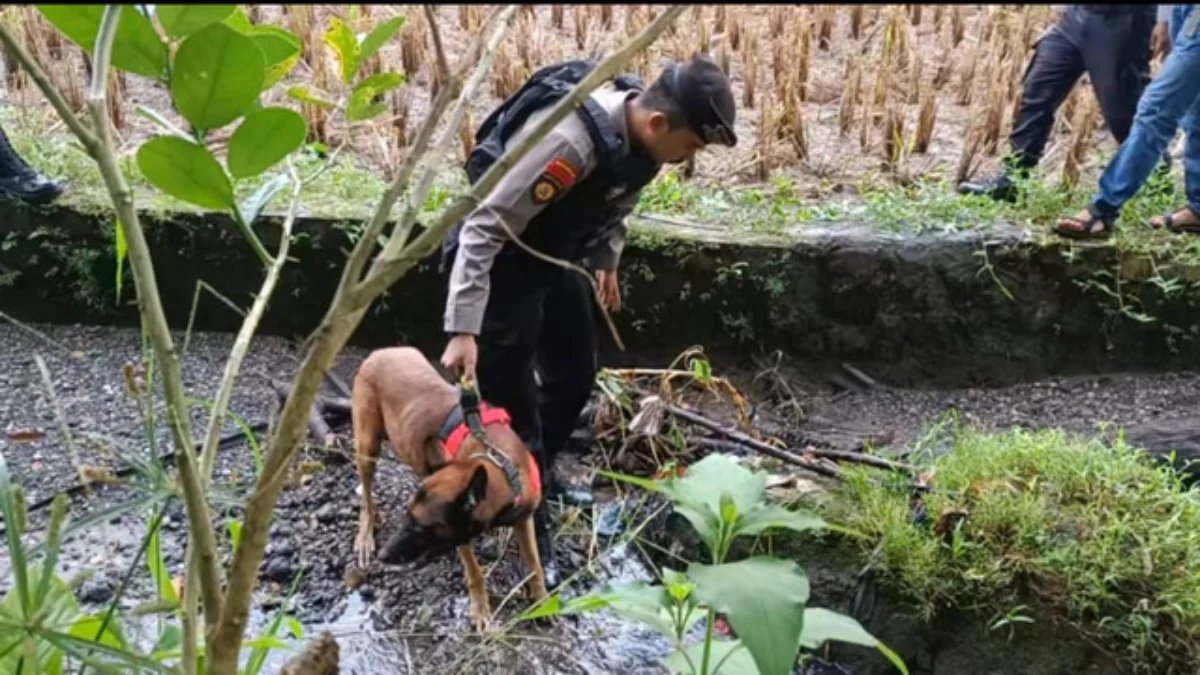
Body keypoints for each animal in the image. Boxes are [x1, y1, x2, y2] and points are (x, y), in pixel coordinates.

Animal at [350, 345, 549, 629]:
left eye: (421, 527)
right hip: (367, 446)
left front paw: (542, 600)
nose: (385, 555)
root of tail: (381, 351)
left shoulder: (523, 519)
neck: (498, 464)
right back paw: (365, 534)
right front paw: (480, 610)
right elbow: (475, 573)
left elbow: (534, 563)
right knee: (367, 497)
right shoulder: (461, 537)